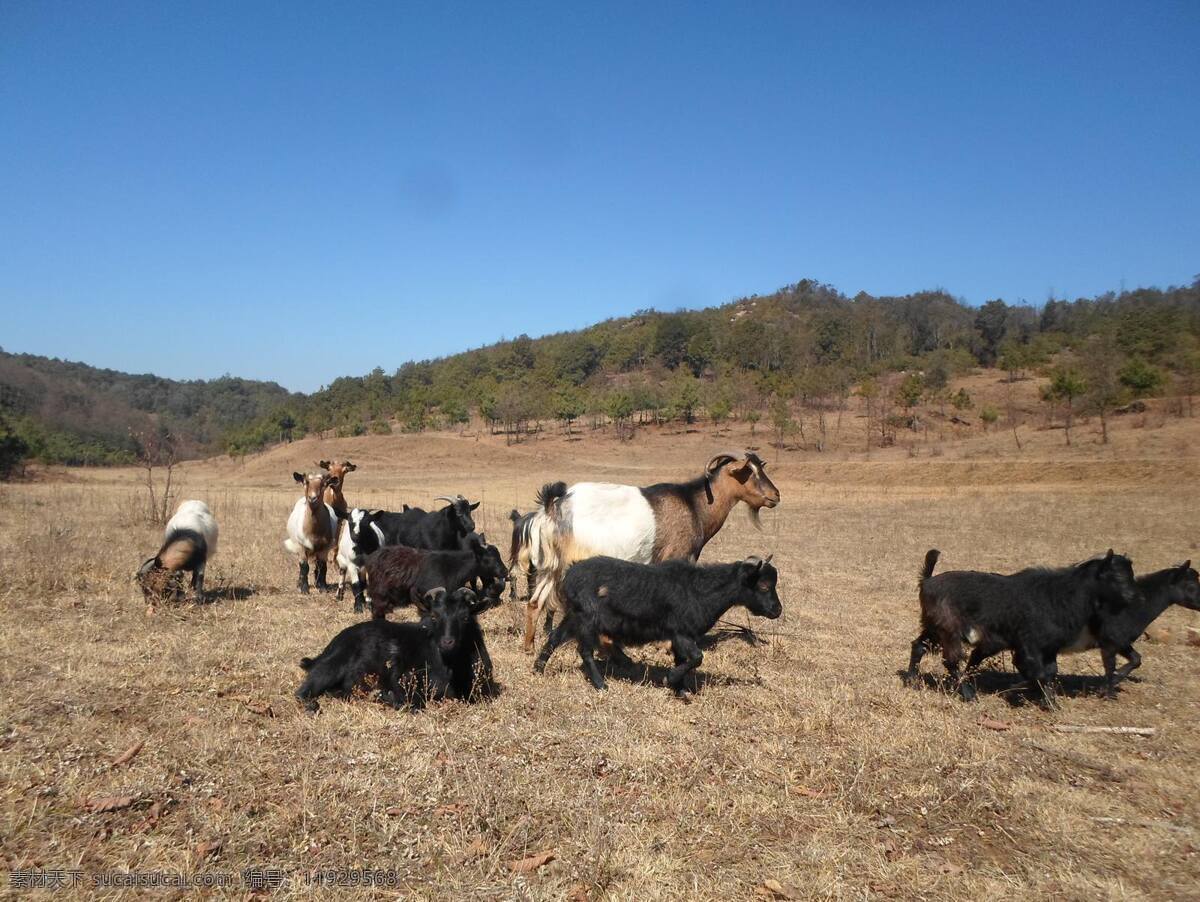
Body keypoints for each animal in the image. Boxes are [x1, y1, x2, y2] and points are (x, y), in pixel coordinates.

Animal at [525, 453, 777, 652]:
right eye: (749, 472)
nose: (775, 496)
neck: (695, 506)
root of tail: (553, 508)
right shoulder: (677, 557)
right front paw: (665, 645)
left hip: (552, 566)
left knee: (535, 602)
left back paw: (529, 647)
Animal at [532, 554, 777, 695]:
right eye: (764, 585)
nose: (777, 610)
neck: (701, 590)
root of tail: (569, 574)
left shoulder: (681, 637)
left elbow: (684, 659)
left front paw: (681, 691)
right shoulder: (681, 632)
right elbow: (697, 658)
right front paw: (671, 679)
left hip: (575, 615)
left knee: (554, 637)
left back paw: (538, 668)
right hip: (588, 618)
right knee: (584, 651)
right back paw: (601, 685)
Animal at [902, 546, 1137, 710]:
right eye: (1116, 576)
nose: (1132, 597)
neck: (1062, 594)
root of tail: (928, 581)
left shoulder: (1047, 648)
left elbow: (1049, 672)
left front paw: (1049, 702)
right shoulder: (1028, 645)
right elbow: (1038, 672)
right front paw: (1030, 694)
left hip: (935, 627)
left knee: (919, 646)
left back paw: (912, 680)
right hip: (949, 630)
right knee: (950, 661)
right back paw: (969, 695)